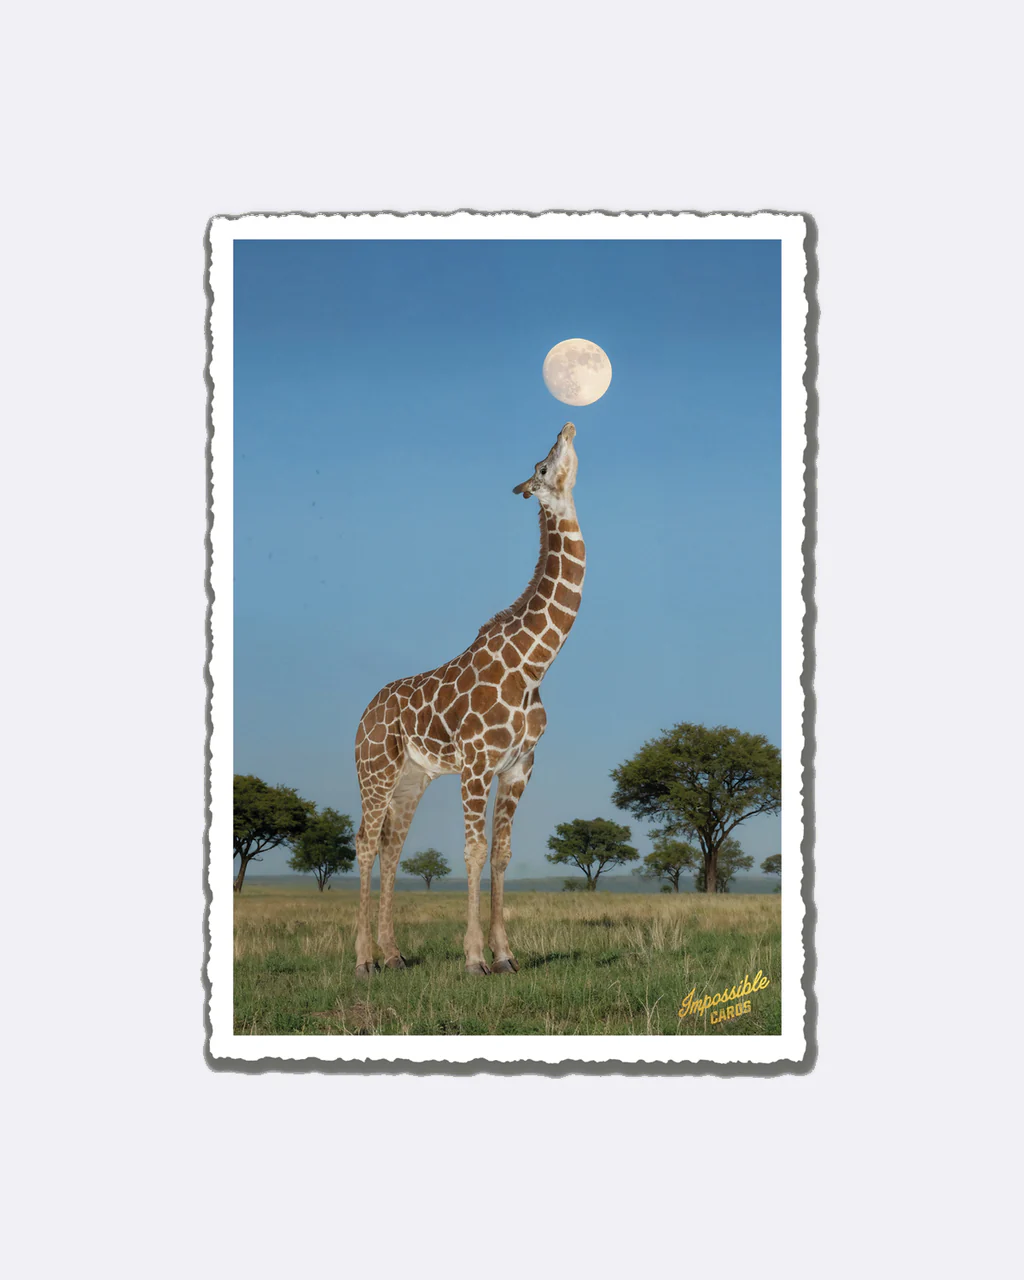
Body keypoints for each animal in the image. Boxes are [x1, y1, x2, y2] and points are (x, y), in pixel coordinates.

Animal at [353, 421, 585, 976]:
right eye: (542, 466)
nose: (566, 426)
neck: (533, 664)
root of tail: (363, 716)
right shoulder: (477, 763)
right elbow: (474, 852)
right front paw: (475, 958)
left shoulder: (520, 765)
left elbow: (501, 853)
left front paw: (506, 956)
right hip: (375, 772)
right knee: (365, 844)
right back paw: (363, 960)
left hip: (411, 779)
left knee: (392, 847)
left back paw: (393, 955)